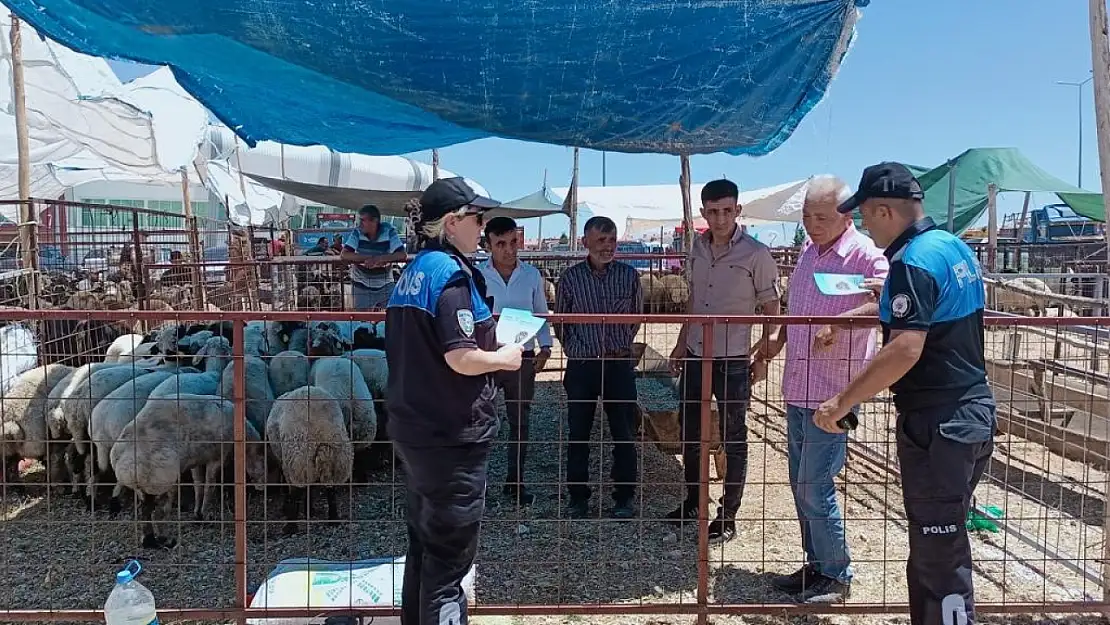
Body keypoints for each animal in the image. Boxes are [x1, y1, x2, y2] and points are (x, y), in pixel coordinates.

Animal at [109, 392, 266, 550]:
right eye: (264, 461)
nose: (262, 487)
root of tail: (125, 466)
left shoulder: (196, 462)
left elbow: (198, 486)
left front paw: (197, 513)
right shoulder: (216, 457)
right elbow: (210, 486)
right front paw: (204, 514)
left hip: (144, 489)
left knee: (145, 510)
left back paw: (149, 540)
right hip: (161, 482)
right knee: (157, 511)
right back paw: (163, 539)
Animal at [266, 384, 352, 535]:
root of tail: (321, 432)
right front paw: (309, 510)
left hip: (298, 458)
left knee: (297, 490)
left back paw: (290, 527)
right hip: (336, 458)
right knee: (330, 486)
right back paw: (333, 519)